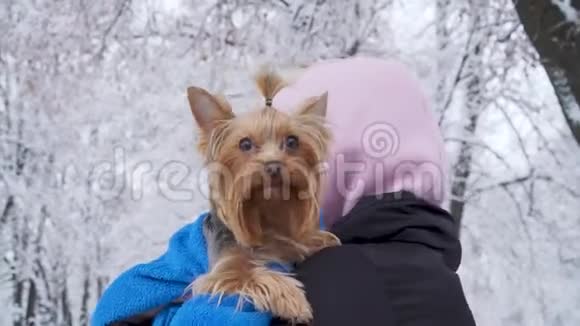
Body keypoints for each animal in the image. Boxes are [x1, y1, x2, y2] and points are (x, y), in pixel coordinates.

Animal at [186, 67, 340, 322]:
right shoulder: (220, 271)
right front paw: (291, 298)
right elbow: (250, 274)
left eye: (292, 141)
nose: (274, 166)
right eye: (245, 144)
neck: (266, 213)